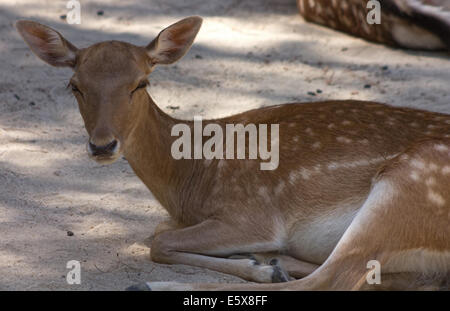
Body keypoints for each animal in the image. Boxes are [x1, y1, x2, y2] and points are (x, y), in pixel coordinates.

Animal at [15, 17, 448, 292]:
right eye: (74, 85)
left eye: (141, 83)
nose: (103, 145)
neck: (190, 181)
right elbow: (159, 233)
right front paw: (262, 263)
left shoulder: (252, 213)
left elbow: (159, 242)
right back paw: (272, 263)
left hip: (407, 184)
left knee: (331, 280)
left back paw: (151, 285)